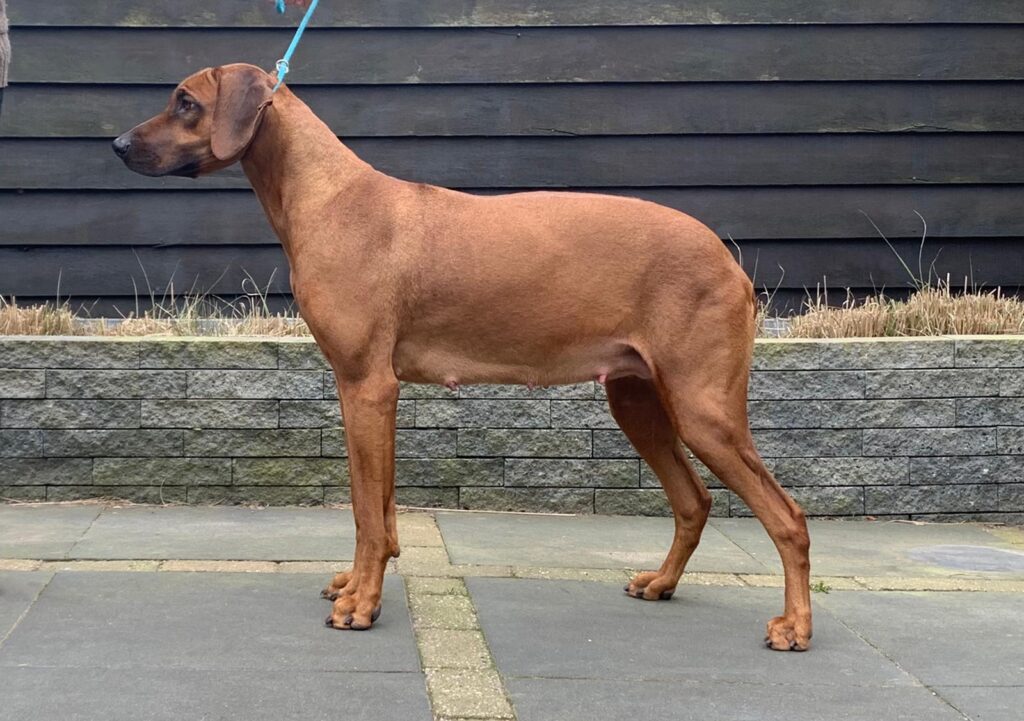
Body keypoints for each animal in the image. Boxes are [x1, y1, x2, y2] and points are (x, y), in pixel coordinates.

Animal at [113, 63, 812, 650]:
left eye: (185, 102)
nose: (117, 144)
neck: (327, 197)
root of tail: (728, 260)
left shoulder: (367, 384)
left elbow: (367, 512)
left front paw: (361, 606)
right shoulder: (368, 392)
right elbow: (379, 509)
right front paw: (356, 585)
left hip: (702, 408)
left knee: (788, 516)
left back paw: (795, 626)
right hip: (638, 400)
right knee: (693, 501)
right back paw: (661, 584)